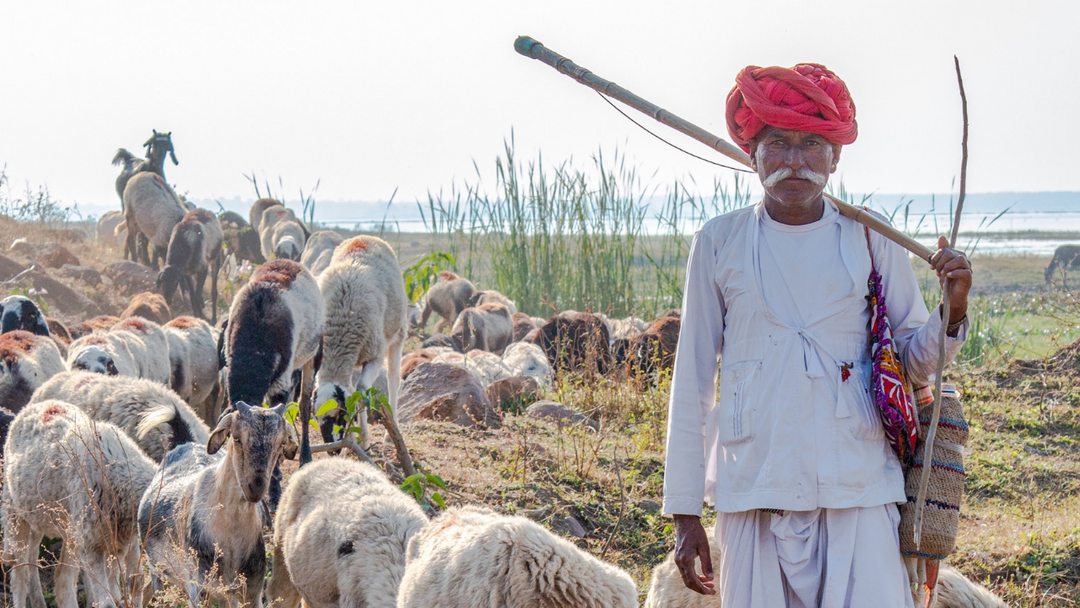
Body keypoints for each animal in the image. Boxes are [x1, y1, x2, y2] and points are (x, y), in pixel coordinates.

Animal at [3, 399, 156, 608]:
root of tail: (43, 404)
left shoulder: (119, 539)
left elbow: (134, 582)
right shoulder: (93, 544)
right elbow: (109, 601)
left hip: (60, 526)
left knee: (56, 575)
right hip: (15, 514)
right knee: (20, 575)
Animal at [138, 401, 297, 608]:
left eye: (280, 444)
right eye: (236, 437)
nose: (255, 487)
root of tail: (185, 441)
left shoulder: (251, 591)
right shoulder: (198, 589)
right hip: (158, 570)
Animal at [312, 236, 407, 449]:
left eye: (340, 414)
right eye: (317, 418)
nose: (332, 451)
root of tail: (364, 237)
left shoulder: (375, 355)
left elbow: (362, 390)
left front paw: (363, 439)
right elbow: (352, 391)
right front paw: (353, 438)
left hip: (398, 333)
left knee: (393, 379)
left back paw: (391, 433)